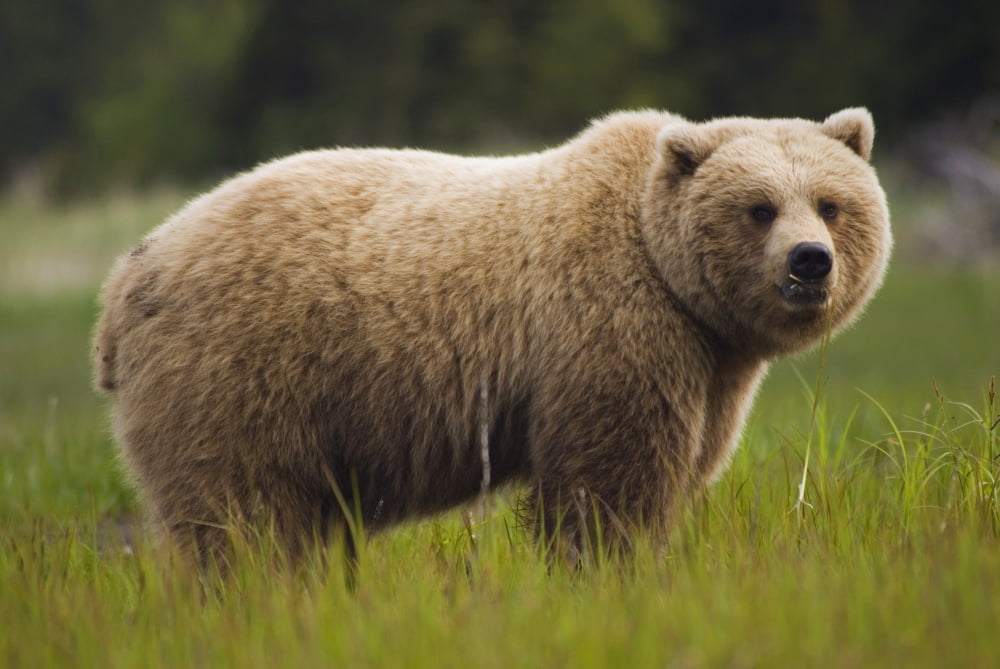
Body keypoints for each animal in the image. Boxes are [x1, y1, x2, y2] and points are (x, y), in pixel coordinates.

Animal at [93, 108, 891, 565]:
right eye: (759, 208)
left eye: (830, 203)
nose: (809, 261)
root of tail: (126, 278)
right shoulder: (608, 326)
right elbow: (608, 478)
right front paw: (606, 568)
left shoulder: (708, 363)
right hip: (243, 372)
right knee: (244, 513)